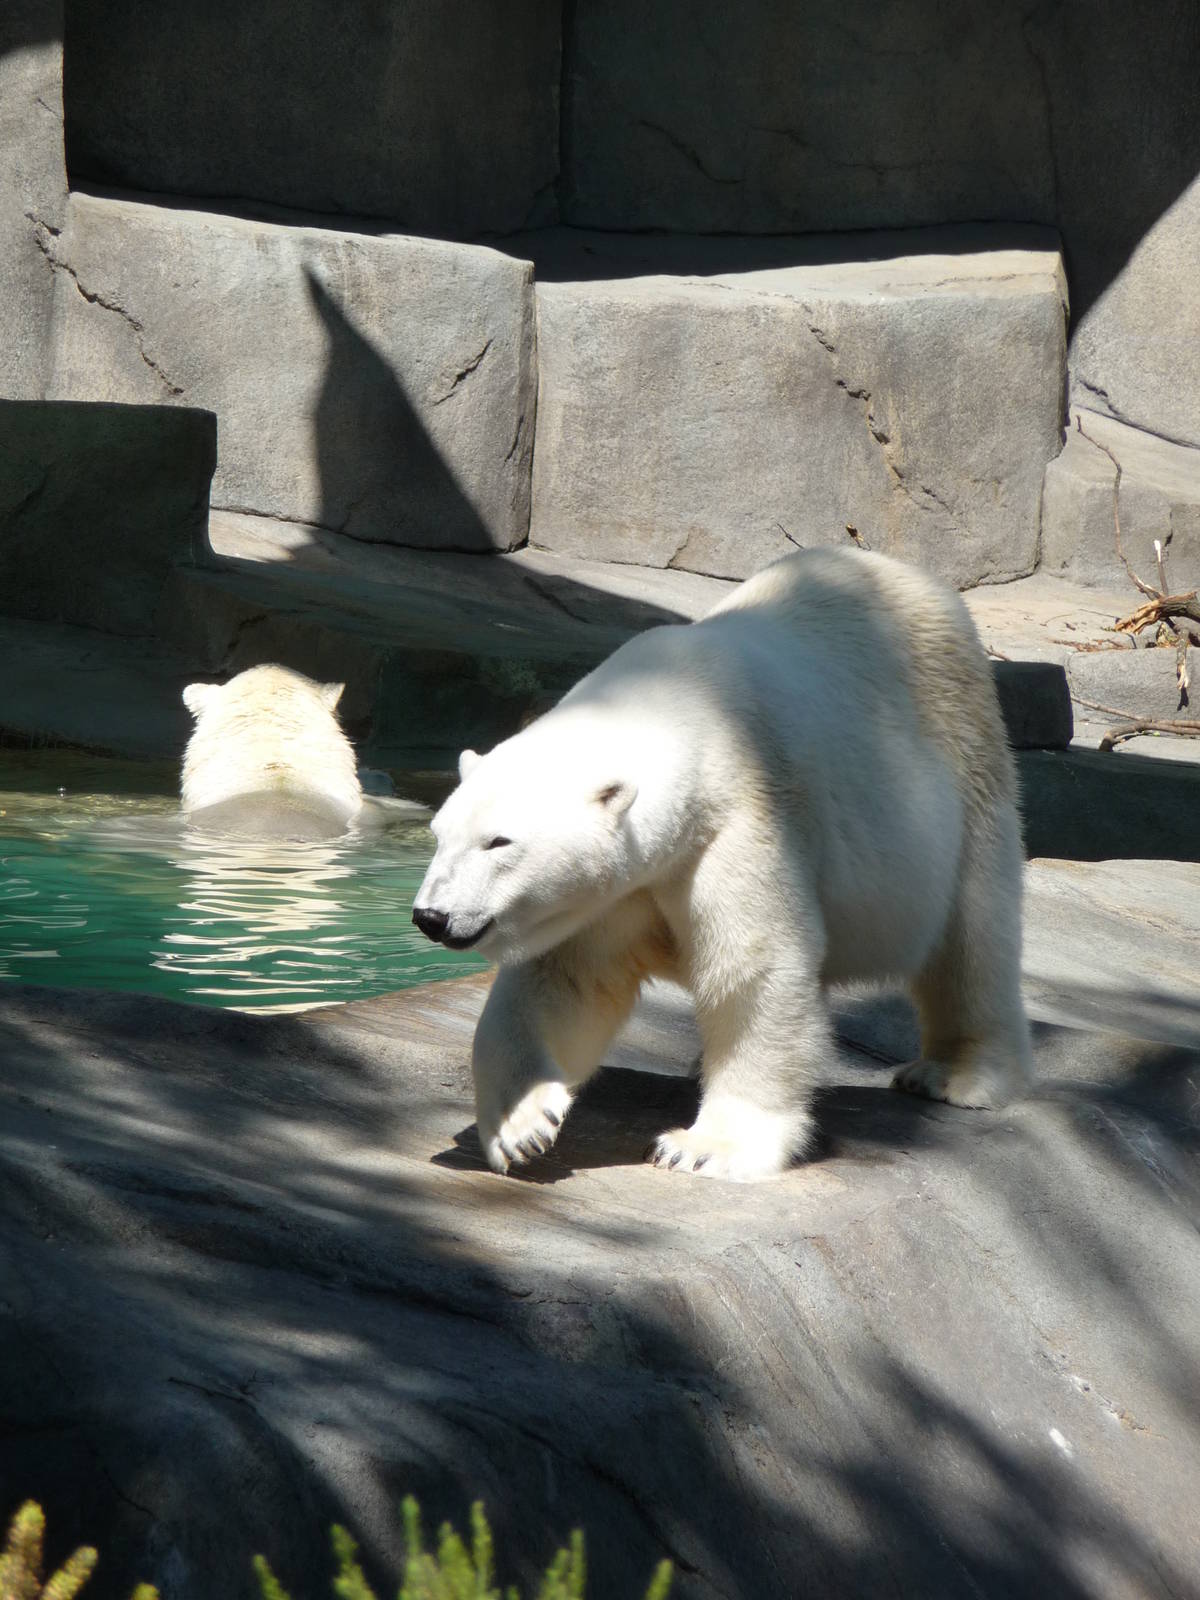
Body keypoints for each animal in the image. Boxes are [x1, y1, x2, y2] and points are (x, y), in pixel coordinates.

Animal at [413, 547, 1033, 1181]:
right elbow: (563, 977)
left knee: (972, 931)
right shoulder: (621, 889)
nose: (431, 916)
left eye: (498, 842)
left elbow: (751, 968)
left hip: (960, 758)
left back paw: (955, 1074)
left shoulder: (739, 820)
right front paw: (522, 1126)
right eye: (438, 835)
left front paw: (701, 1148)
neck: (683, 707)